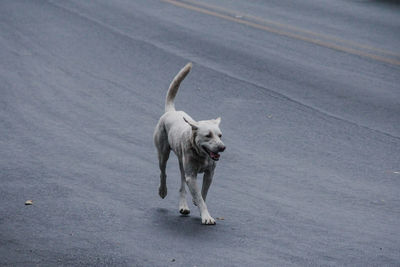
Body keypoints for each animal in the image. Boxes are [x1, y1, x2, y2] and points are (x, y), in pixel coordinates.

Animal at [153, 62, 225, 224]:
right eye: (208, 135)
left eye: (220, 136)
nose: (222, 147)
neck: (201, 154)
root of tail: (171, 111)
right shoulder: (191, 176)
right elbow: (199, 196)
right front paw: (206, 216)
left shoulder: (209, 174)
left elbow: (202, 194)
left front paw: (197, 203)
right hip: (163, 153)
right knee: (163, 172)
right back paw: (162, 190)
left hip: (182, 163)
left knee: (181, 185)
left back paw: (184, 205)